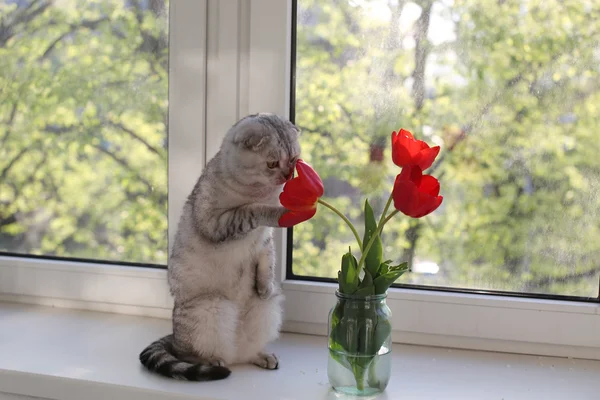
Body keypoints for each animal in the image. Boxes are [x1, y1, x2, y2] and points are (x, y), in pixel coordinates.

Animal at [139, 112, 300, 382]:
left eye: (295, 160)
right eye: (272, 164)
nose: (287, 177)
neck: (262, 191)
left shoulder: (264, 242)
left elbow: (267, 261)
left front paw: (264, 285)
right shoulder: (218, 222)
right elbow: (253, 210)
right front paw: (280, 211)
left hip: (267, 309)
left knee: (245, 351)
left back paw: (262, 355)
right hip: (212, 307)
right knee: (190, 354)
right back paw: (213, 361)